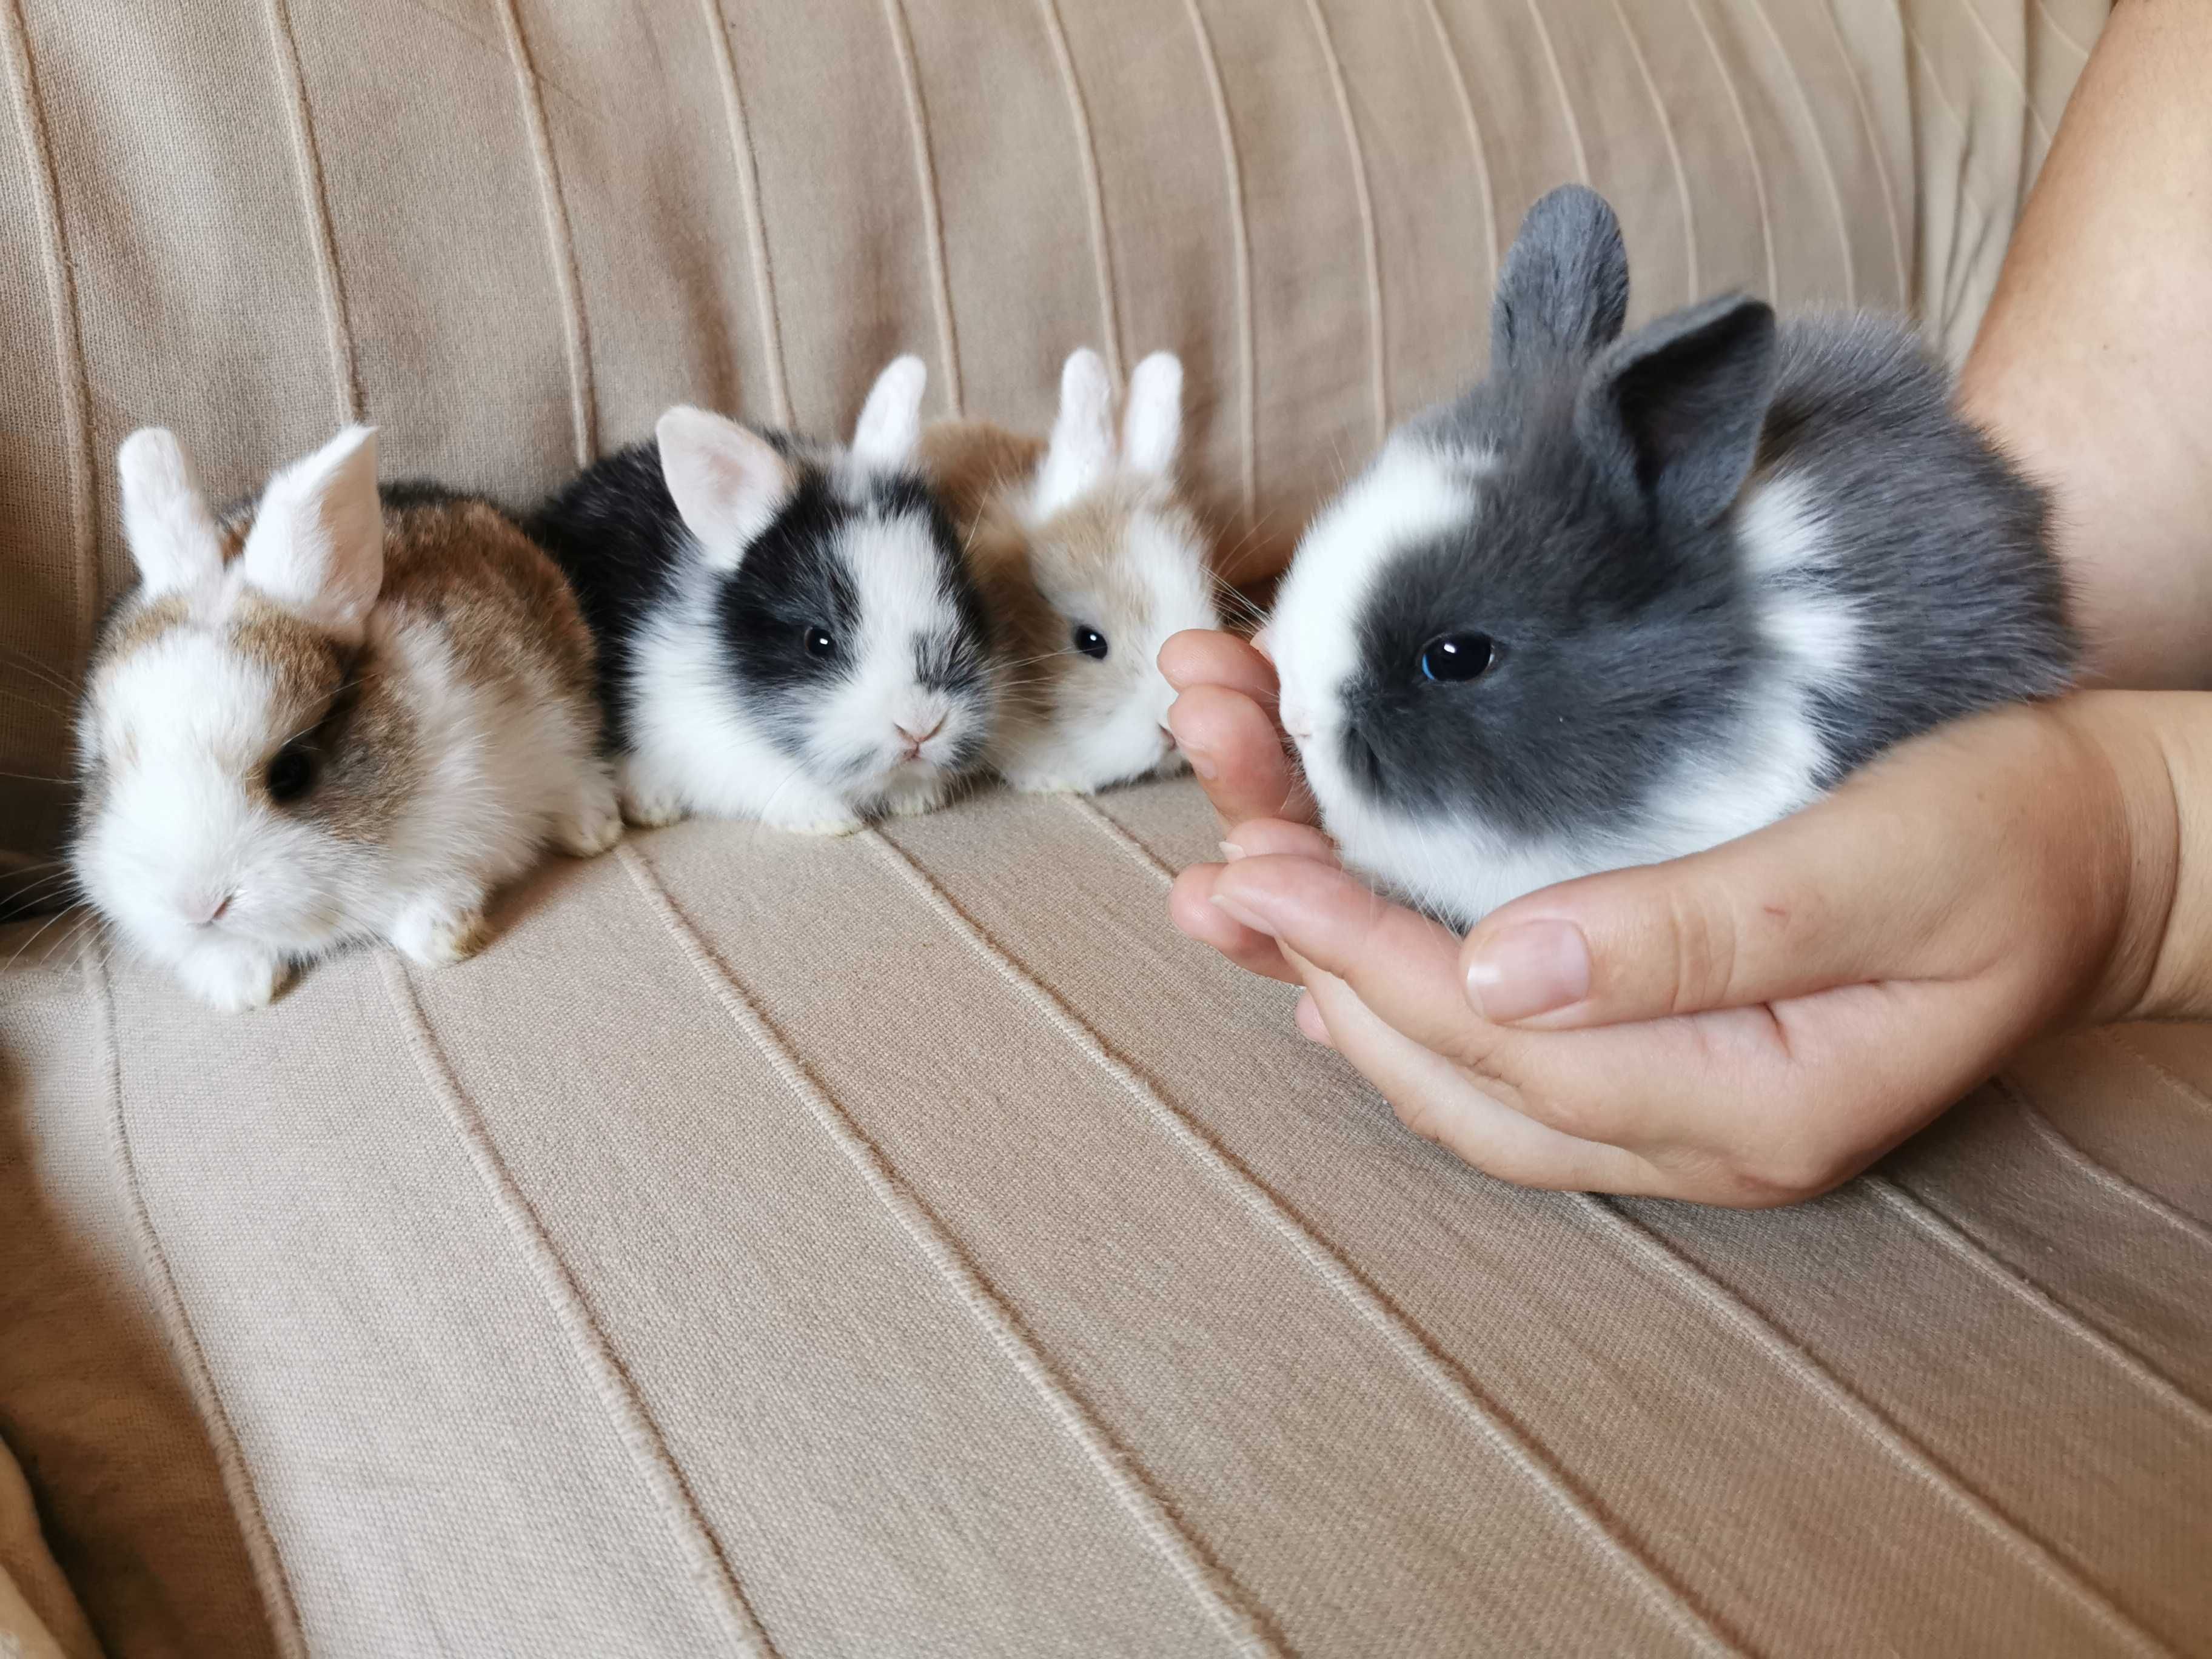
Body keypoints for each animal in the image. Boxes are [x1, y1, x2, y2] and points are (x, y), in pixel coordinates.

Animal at [75, 424, 623, 1013]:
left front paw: (444, 936)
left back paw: (592, 828)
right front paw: (242, 986)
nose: (198, 906)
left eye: (292, 773)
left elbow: (439, 894)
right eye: (108, 767)